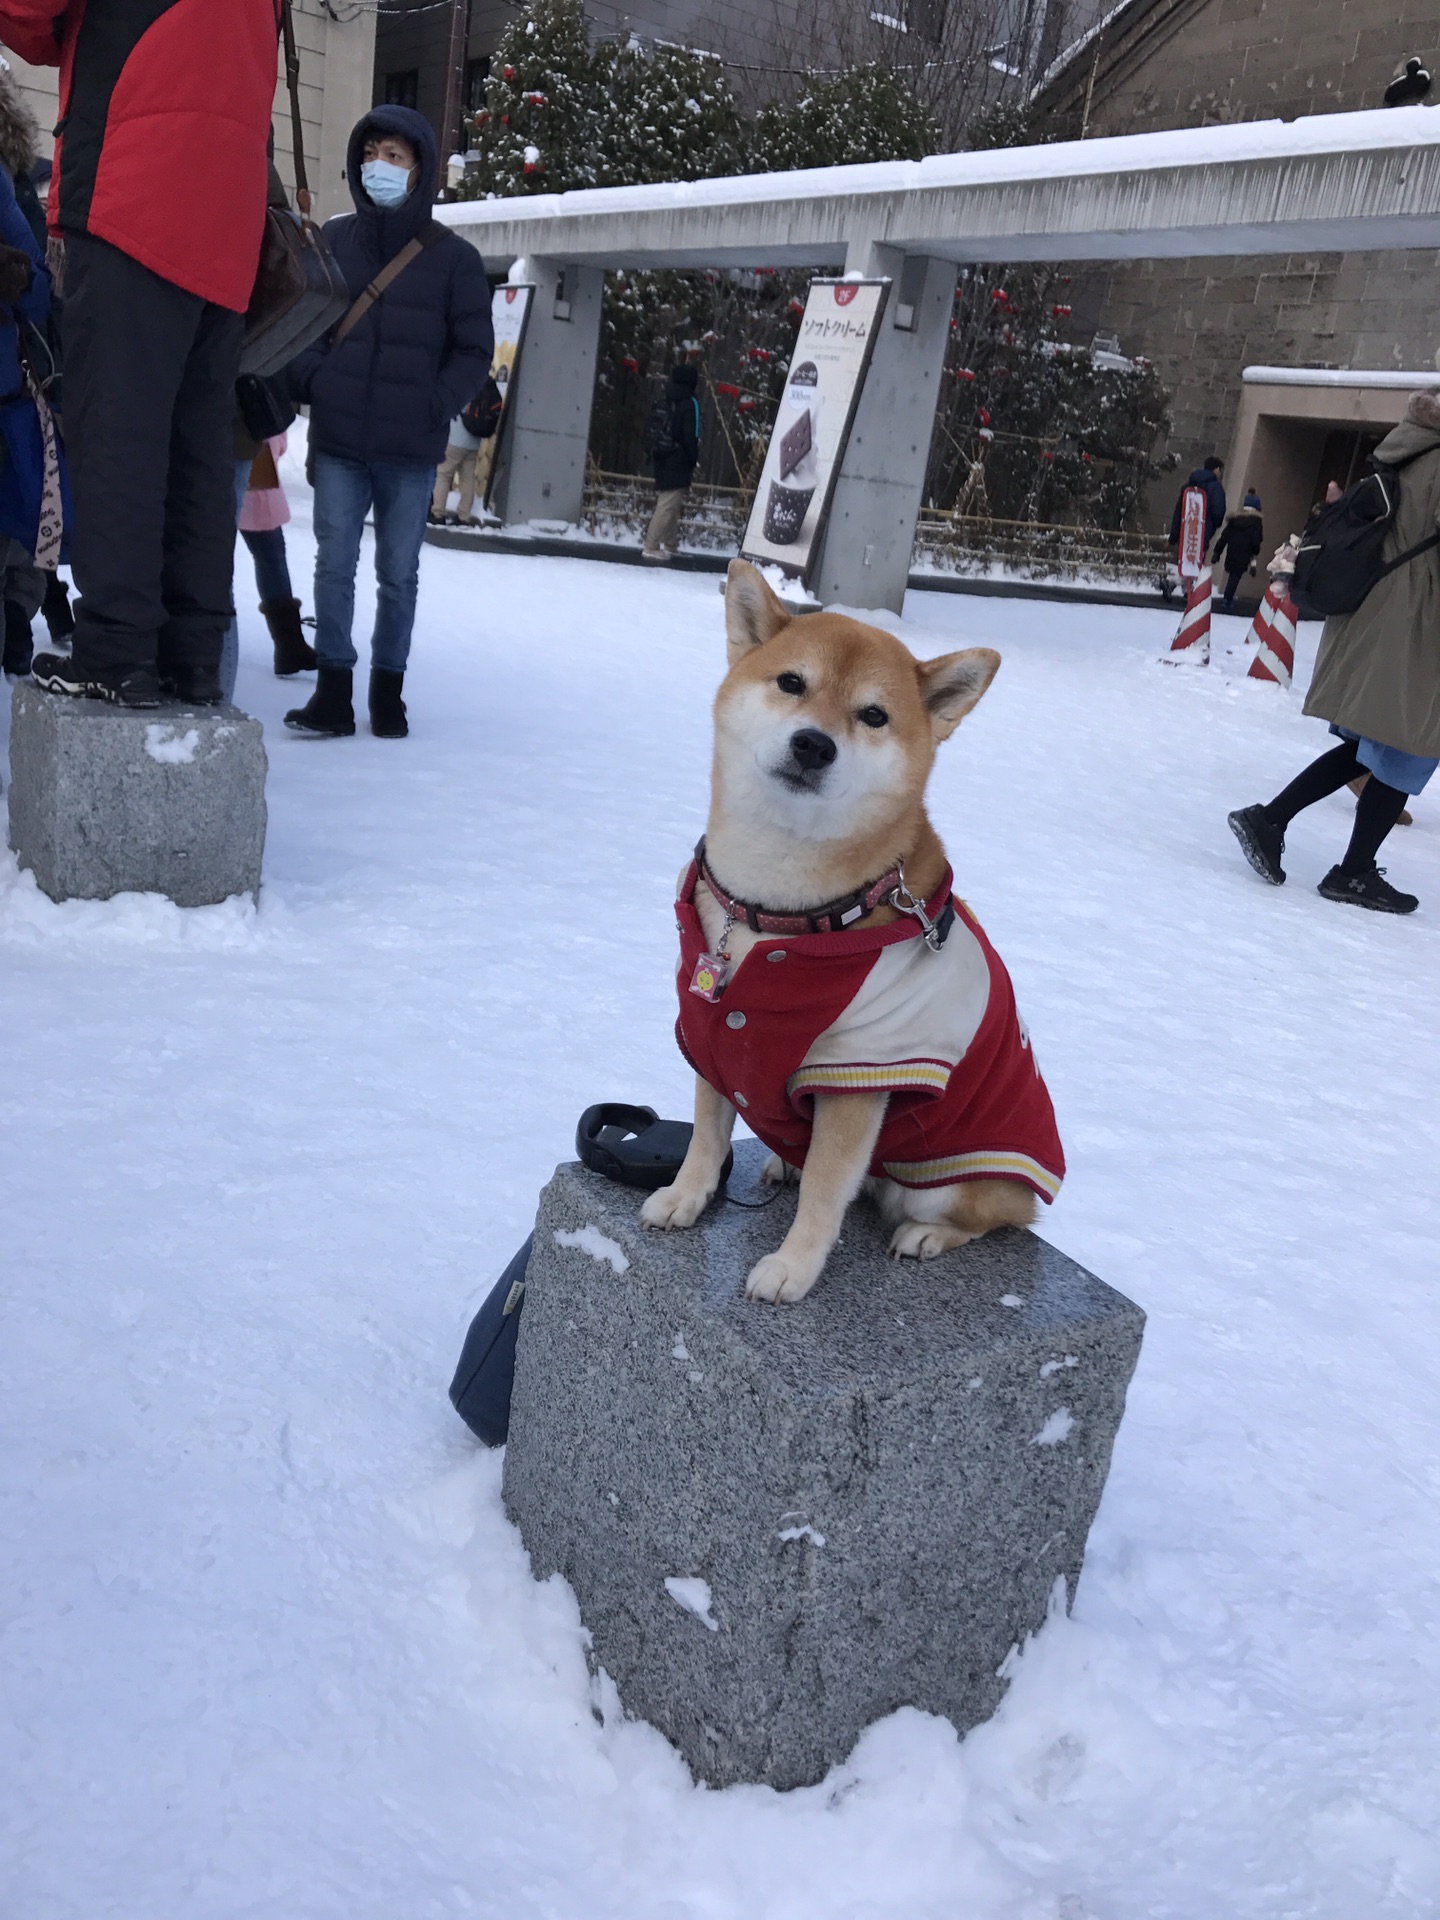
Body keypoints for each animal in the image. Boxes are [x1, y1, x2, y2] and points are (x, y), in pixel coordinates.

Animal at [641, 560, 1059, 1305]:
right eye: (791, 682)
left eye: (873, 715)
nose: (813, 743)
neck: (778, 909)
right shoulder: (711, 1033)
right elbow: (707, 1137)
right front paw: (686, 1197)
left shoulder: (860, 1070)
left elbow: (828, 1189)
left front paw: (793, 1267)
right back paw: (785, 1163)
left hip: (949, 1179)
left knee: (989, 1217)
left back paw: (926, 1235)